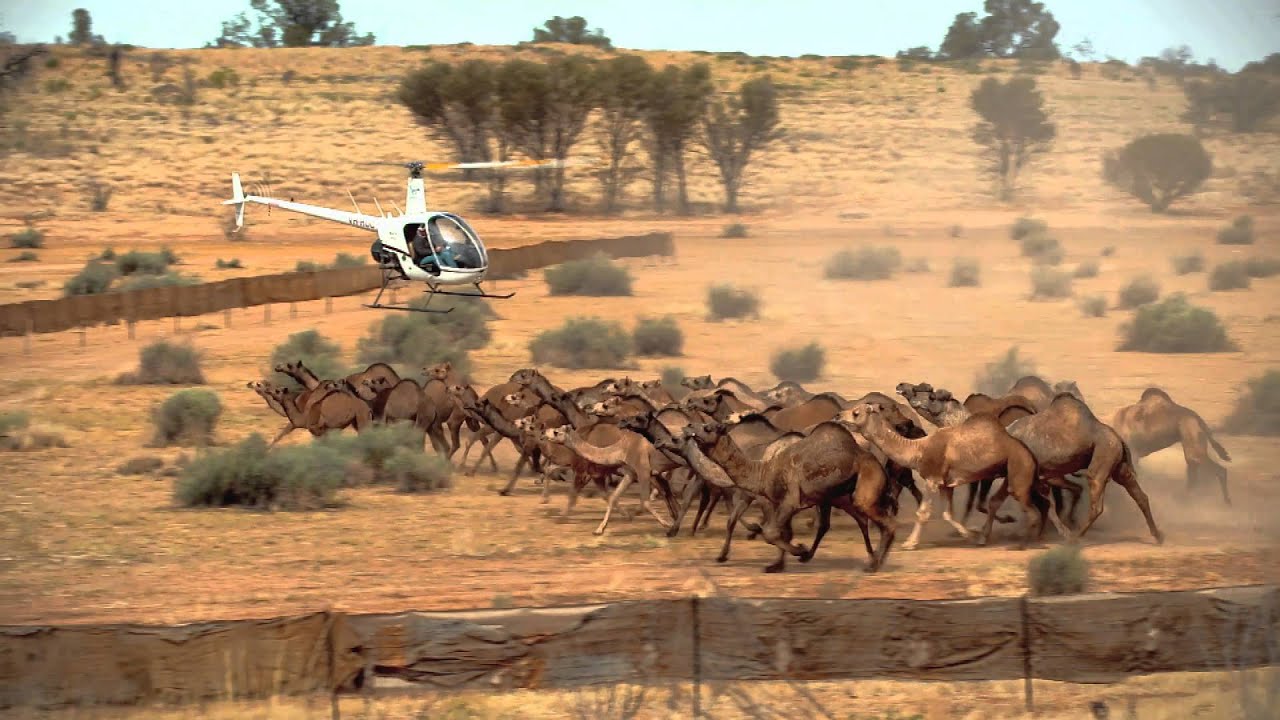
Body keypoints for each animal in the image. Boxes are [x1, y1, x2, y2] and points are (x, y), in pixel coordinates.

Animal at [674, 420, 897, 573]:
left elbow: (771, 532)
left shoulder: (789, 500)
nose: (689, 426)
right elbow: (783, 533)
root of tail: (879, 464)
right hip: (836, 495)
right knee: (853, 521)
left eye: (708, 427)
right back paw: (874, 559)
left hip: (865, 484)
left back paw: (874, 564)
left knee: (883, 521)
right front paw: (777, 565)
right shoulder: (780, 502)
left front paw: (800, 550)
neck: (764, 471)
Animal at [839, 402, 1052, 551]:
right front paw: (970, 535)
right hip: (1010, 473)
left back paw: (1024, 544)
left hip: (1019, 468)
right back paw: (989, 537)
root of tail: (1029, 453)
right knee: (999, 501)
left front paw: (910, 543)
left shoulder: (932, 480)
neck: (917, 450)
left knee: (1032, 510)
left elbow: (923, 513)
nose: (839, 415)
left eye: (856, 413)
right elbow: (947, 513)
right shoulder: (945, 485)